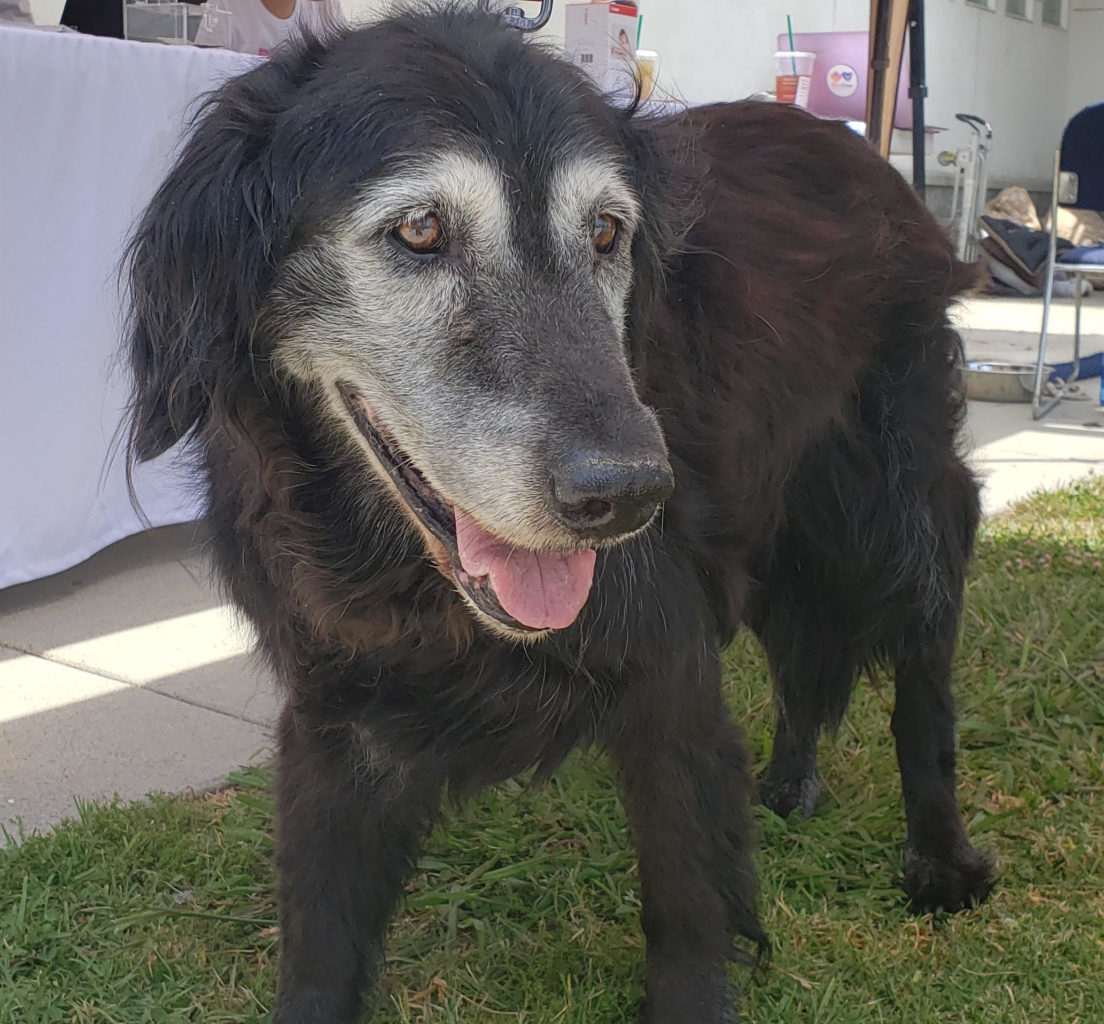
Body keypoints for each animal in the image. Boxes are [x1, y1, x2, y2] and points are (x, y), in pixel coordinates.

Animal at [123, 6, 993, 1015]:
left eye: (609, 233)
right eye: (420, 228)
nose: (630, 496)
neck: (416, 589)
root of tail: (868, 158)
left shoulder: (671, 677)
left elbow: (688, 906)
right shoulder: (336, 717)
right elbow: (320, 943)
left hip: (891, 517)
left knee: (921, 679)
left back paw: (941, 857)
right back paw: (787, 779)